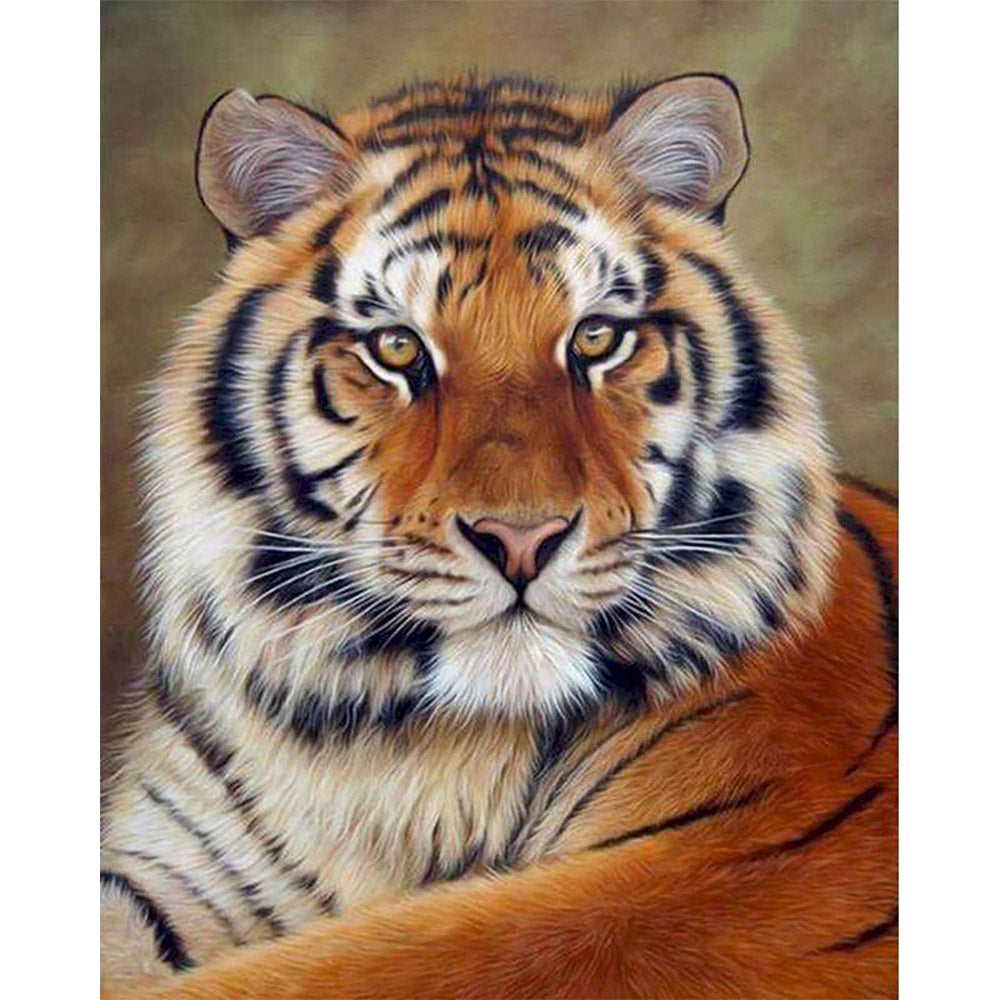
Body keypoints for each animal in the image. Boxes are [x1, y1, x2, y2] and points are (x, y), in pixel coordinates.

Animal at [100, 73, 898, 999]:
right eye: (396, 347)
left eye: (597, 336)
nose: (522, 540)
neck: (395, 754)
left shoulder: (716, 874)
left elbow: (377, 959)